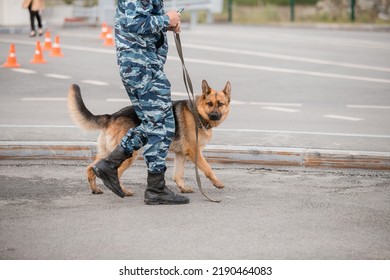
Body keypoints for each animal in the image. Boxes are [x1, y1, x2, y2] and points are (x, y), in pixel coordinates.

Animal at [68, 80, 232, 196]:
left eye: (220, 104)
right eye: (209, 103)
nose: (215, 115)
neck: (197, 113)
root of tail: (113, 116)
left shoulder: (181, 154)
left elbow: (178, 174)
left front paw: (182, 188)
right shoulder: (194, 152)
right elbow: (208, 168)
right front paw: (217, 183)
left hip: (107, 152)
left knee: (92, 167)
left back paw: (95, 189)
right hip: (130, 154)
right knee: (116, 173)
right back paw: (123, 191)